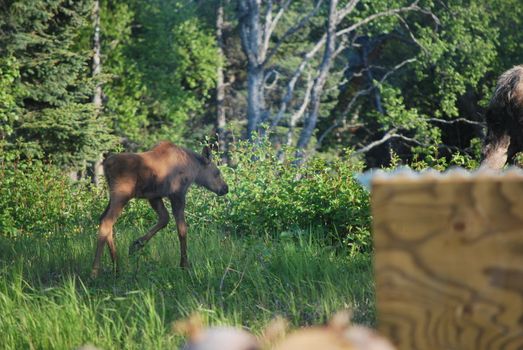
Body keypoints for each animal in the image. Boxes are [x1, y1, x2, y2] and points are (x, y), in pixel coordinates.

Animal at [90, 141, 229, 278]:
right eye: (217, 173)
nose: (225, 188)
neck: (194, 168)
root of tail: (106, 165)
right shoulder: (177, 194)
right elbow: (182, 230)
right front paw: (184, 265)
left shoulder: (154, 196)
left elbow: (164, 219)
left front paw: (137, 244)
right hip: (121, 195)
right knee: (107, 222)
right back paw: (95, 271)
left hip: (113, 196)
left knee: (103, 219)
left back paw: (116, 267)